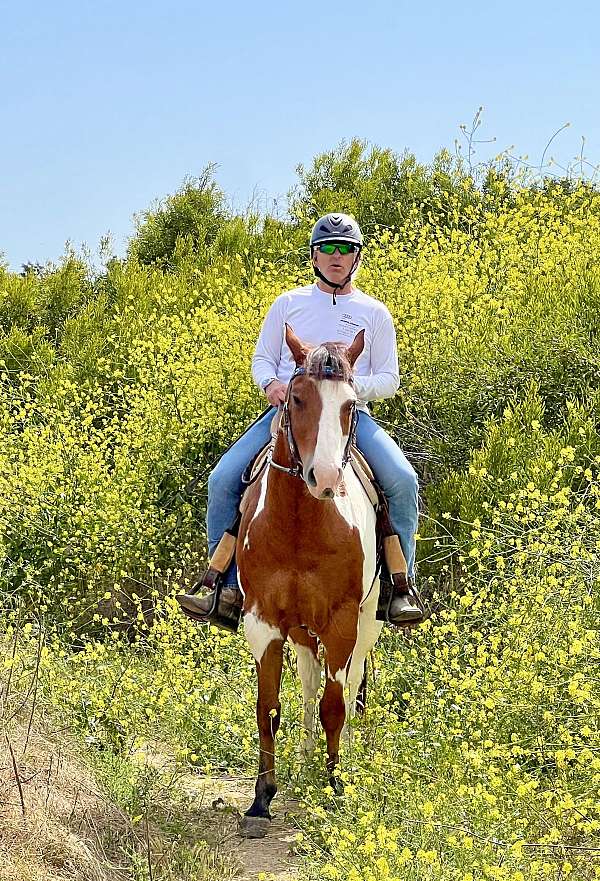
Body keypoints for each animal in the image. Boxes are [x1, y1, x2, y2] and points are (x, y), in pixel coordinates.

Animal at [236, 324, 382, 840]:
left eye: (350, 405)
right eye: (296, 398)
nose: (325, 478)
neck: (301, 524)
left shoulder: (341, 622)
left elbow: (335, 705)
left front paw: (337, 786)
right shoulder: (263, 622)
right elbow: (269, 707)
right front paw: (262, 799)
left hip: (367, 623)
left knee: (349, 686)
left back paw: (345, 758)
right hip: (300, 631)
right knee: (306, 684)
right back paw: (304, 759)